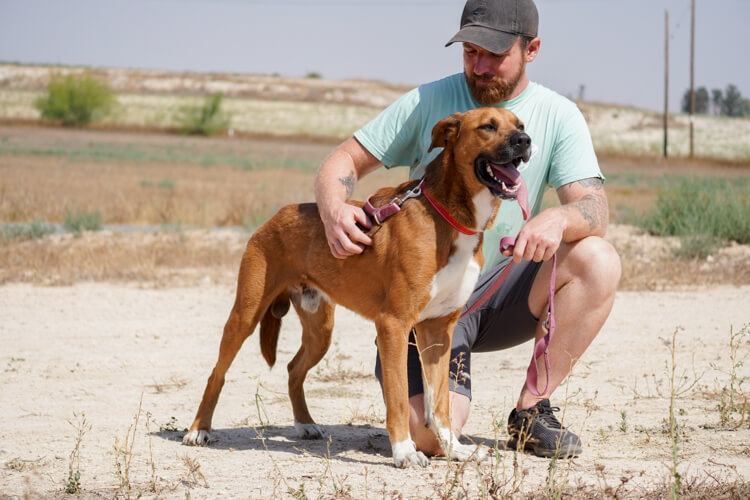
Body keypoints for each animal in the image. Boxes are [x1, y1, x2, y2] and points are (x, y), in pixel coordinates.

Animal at [184, 107, 532, 466]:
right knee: (217, 372)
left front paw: (453, 448)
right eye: (488, 126)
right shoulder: (394, 325)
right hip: (244, 315)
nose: (524, 141)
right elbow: (399, 397)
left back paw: (305, 423)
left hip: (320, 330)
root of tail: (276, 216)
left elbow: (440, 404)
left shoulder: (438, 331)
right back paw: (199, 430)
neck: (446, 215)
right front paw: (404, 451)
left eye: (520, 125)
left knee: (294, 369)